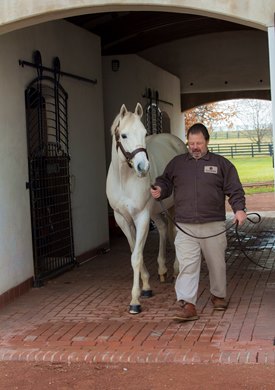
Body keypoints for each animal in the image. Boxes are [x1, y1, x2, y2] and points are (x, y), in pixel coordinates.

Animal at [106, 102, 189, 312]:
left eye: (144, 133)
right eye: (124, 135)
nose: (143, 167)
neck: (124, 179)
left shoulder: (141, 217)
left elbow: (136, 256)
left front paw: (135, 301)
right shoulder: (122, 219)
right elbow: (135, 251)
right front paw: (146, 287)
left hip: (170, 208)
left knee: (175, 233)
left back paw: (175, 269)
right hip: (156, 211)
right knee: (162, 228)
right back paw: (162, 269)